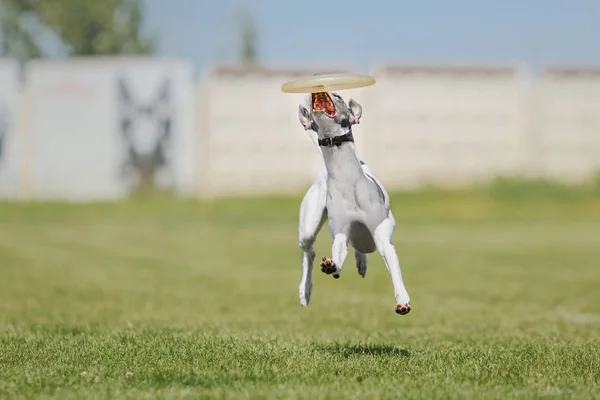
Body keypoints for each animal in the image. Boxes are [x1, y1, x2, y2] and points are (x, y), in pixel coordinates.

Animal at [296, 91, 412, 316]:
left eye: (337, 95)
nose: (317, 91)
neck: (347, 180)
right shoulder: (340, 231)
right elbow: (338, 251)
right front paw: (331, 266)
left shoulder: (382, 236)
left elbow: (393, 264)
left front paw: (403, 300)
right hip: (308, 227)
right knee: (310, 251)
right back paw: (306, 289)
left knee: (360, 247)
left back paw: (361, 262)